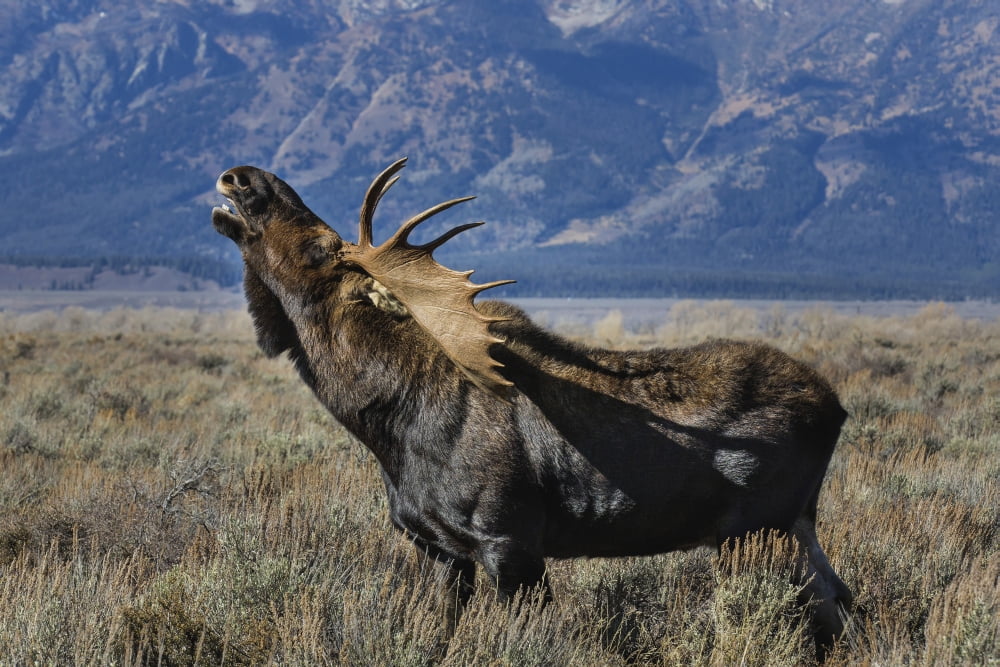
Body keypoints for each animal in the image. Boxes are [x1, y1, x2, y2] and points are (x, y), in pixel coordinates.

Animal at [212, 158, 852, 658]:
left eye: (321, 246)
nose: (243, 177)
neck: (386, 421)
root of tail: (838, 408)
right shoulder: (443, 550)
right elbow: (442, 634)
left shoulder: (509, 540)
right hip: (794, 526)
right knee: (840, 605)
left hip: (757, 531)